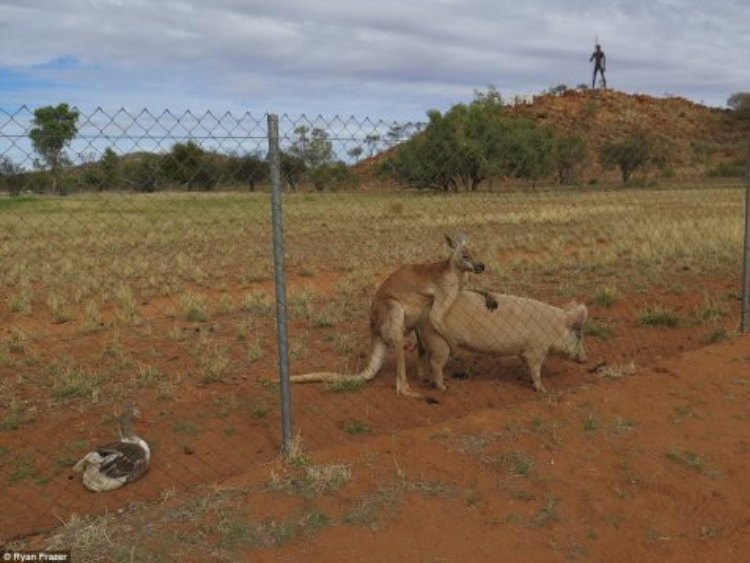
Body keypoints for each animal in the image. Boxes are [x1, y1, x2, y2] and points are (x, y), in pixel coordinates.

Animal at [418, 290, 588, 392]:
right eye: (579, 336)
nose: (585, 359)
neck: (554, 328)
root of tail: (426, 309)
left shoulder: (524, 351)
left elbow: (527, 365)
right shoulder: (536, 349)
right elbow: (536, 369)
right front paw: (543, 390)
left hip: (427, 340)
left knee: (425, 358)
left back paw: (427, 380)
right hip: (439, 341)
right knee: (435, 363)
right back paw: (443, 388)